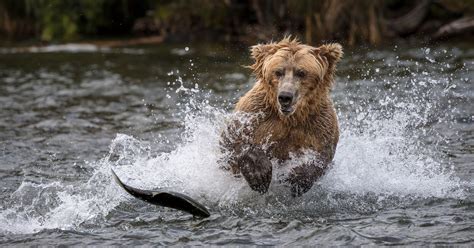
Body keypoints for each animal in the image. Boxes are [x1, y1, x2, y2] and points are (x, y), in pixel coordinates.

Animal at [220, 36, 342, 196]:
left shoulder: (319, 122)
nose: (285, 96)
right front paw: (260, 175)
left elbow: (322, 155)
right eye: (278, 72)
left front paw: (297, 178)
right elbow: (233, 143)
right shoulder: (254, 114)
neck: (289, 118)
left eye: (301, 72)